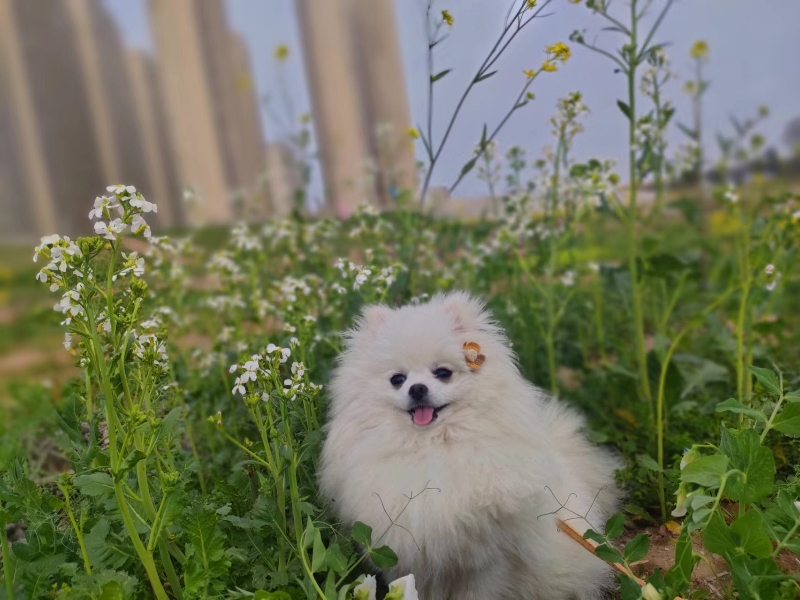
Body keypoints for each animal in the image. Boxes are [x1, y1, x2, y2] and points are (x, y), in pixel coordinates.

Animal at [322, 292, 620, 596]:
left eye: (443, 373)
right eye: (397, 379)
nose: (417, 388)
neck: (433, 446)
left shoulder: (488, 560)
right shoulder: (410, 555)